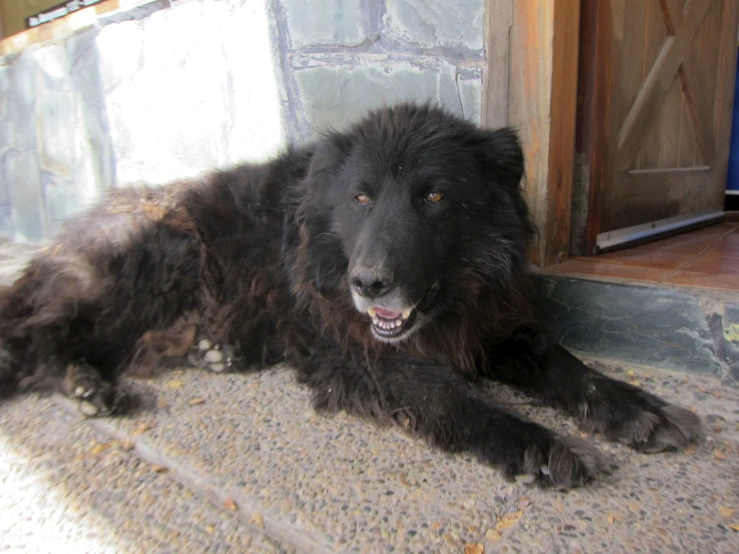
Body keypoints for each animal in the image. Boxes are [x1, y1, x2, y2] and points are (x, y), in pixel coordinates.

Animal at [0, 103, 704, 484]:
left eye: (434, 195)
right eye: (361, 198)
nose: (369, 284)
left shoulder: (492, 325)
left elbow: (566, 364)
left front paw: (636, 407)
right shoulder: (367, 357)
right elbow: (455, 401)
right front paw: (543, 445)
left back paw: (221, 350)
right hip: (160, 262)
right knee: (38, 339)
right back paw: (85, 384)